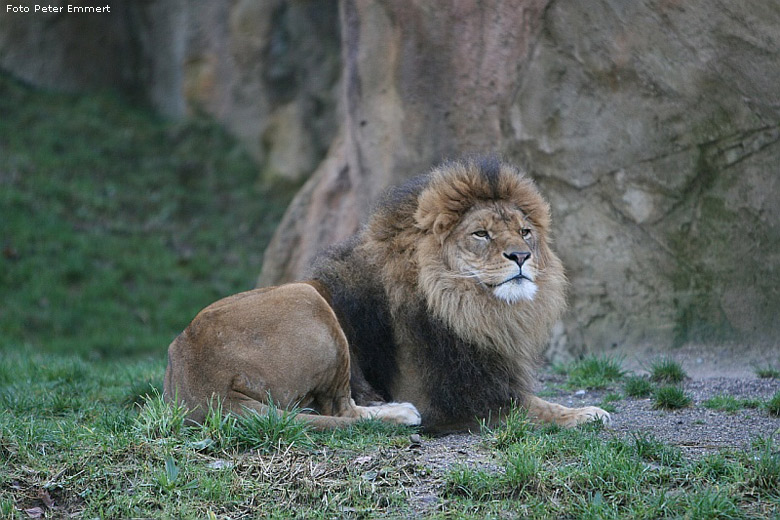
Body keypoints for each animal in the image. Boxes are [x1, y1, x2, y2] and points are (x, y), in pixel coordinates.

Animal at [165, 156, 612, 432]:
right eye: (481, 234)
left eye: (525, 231)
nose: (521, 255)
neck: (475, 309)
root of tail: (201, 387)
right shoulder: (451, 398)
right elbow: (532, 409)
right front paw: (587, 413)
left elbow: (541, 401)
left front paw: (584, 410)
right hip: (309, 303)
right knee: (341, 410)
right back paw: (397, 414)